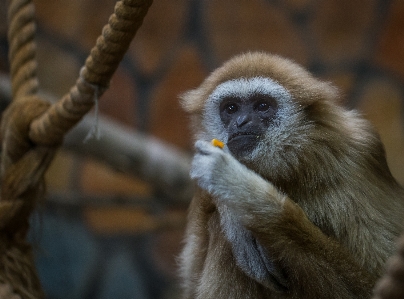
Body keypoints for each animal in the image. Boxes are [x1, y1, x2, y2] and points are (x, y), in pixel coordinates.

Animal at [178, 52, 404, 298]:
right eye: (231, 108)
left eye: (262, 106)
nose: (241, 122)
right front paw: (231, 212)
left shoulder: (359, 155)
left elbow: (372, 284)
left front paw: (243, 190)